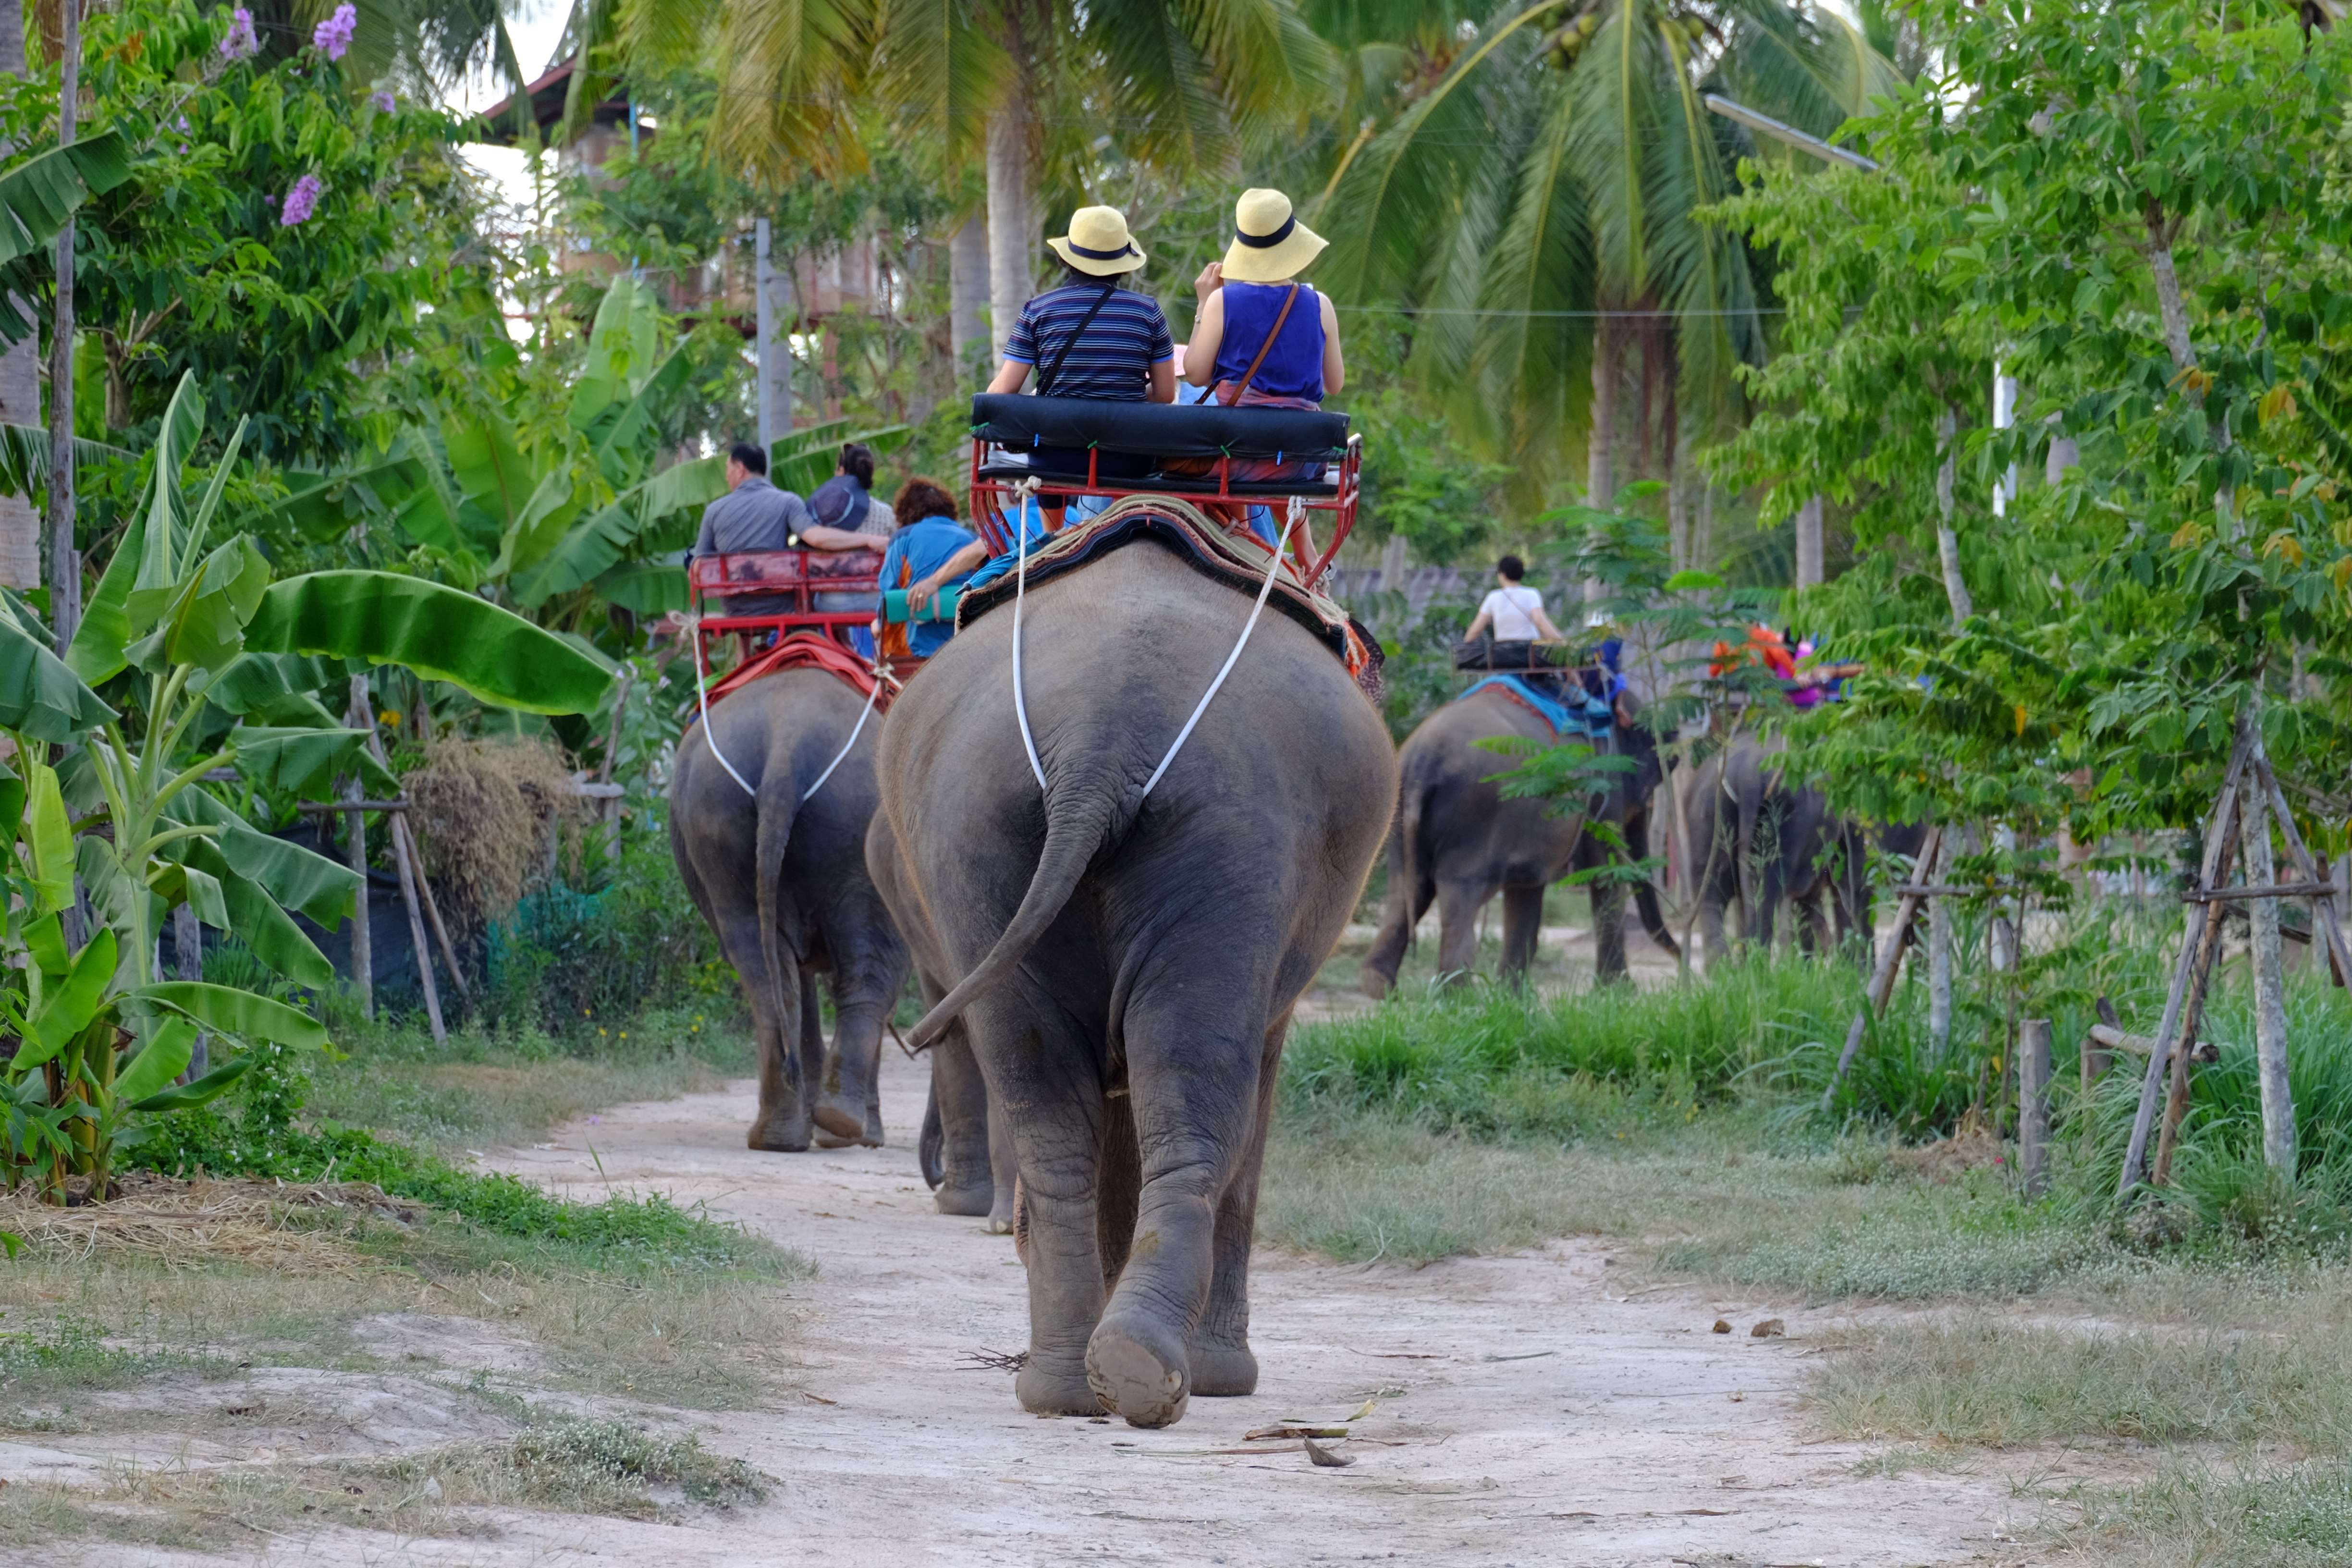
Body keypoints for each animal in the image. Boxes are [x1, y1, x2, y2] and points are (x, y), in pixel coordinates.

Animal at [670, 667, 911, 1152]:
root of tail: (786, 743)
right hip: (862, 825)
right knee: (872, 971)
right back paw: (842, 1126)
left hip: (715, 823)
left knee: (764, 974)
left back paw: (780, 1135)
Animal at [871, 540, 1395, 1428]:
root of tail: (1097, 744)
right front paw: (1216, 1376)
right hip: (1230, 837)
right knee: (1197, 1082)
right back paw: (1160, 1373)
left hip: (978, 833)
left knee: (1044, 1088)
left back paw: (1078, 1382)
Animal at [1360, 683, 1676, 997]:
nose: (1679, 955)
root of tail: (1422, 762)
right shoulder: (1602, 788)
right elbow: (1604, 873)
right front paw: (1621, 992)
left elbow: (1527, 890)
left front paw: (1512, 997)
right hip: (1475, 814)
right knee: (1459, 894)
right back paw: (1459, 994)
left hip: (1398, 816)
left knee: (1408, 890)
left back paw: (1380, 987)